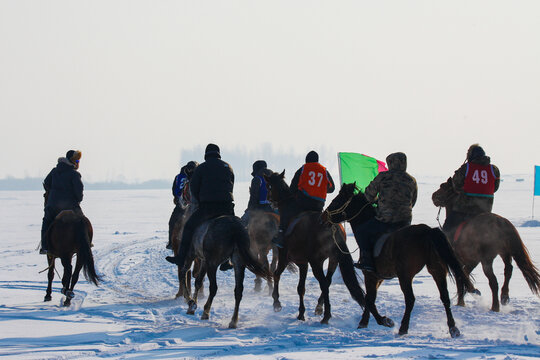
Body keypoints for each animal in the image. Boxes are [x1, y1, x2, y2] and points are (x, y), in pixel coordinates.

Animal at [262, 170, 368, 324]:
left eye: (269, 186)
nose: (269, 201)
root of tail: (332, 227)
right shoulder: (303, 263)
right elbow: (301, 288)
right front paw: (301, 312)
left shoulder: (286, 257)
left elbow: (277, 275)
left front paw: (277, 303)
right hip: (333, 259)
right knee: (327, 282)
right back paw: (320, 307)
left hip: (316, 262)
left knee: (324, 283)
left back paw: (326, 315)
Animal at [324, 183, 472, 338]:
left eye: (337, 201)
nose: (324, 216)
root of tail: (427, 231)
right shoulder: (379, 278)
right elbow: (370, 298)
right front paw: (364, 322)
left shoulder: (370, 275)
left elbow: (369, 300)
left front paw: (384, 321)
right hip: (437, 269)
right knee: (444, 297)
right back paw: (453, 328)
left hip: (405, 275)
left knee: (410, 299)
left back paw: (403, 328)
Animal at [432, 179, 540, 310]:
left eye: (443, 186)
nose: (434, 196)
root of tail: (501, 223)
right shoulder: (472, 260)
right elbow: (465, 276)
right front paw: (467, 296)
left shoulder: (460, 259)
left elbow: (461, 278)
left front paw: (462, 301)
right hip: (504, 253)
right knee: (508, 270)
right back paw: (504, 297)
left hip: (487, 260)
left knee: (493, 281)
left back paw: (495, 306)